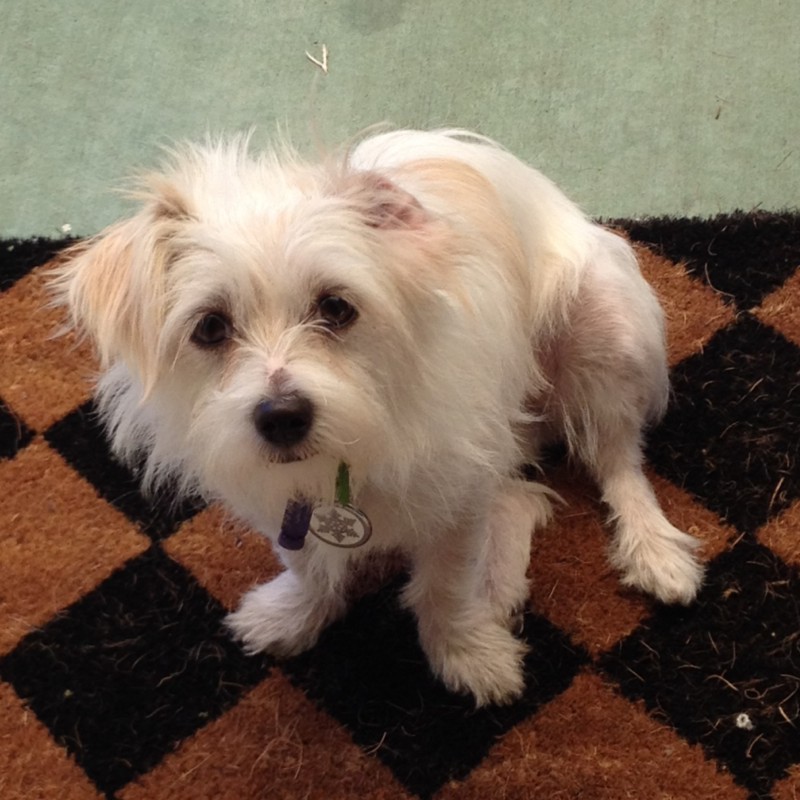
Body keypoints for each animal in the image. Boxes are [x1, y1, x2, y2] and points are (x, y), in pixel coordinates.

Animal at [50, 128, 704, 706]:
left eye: (336, 307)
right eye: (210, 326)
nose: (282, 416)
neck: (353, 448)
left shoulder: (457, 492)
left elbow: (444, 583)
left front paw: (467, 654)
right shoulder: (279, 495)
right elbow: (305, 562)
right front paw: (296, 616)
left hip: (606, 338)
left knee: (617, 461)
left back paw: (652, 552)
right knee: (522, 496)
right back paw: (500, 583)